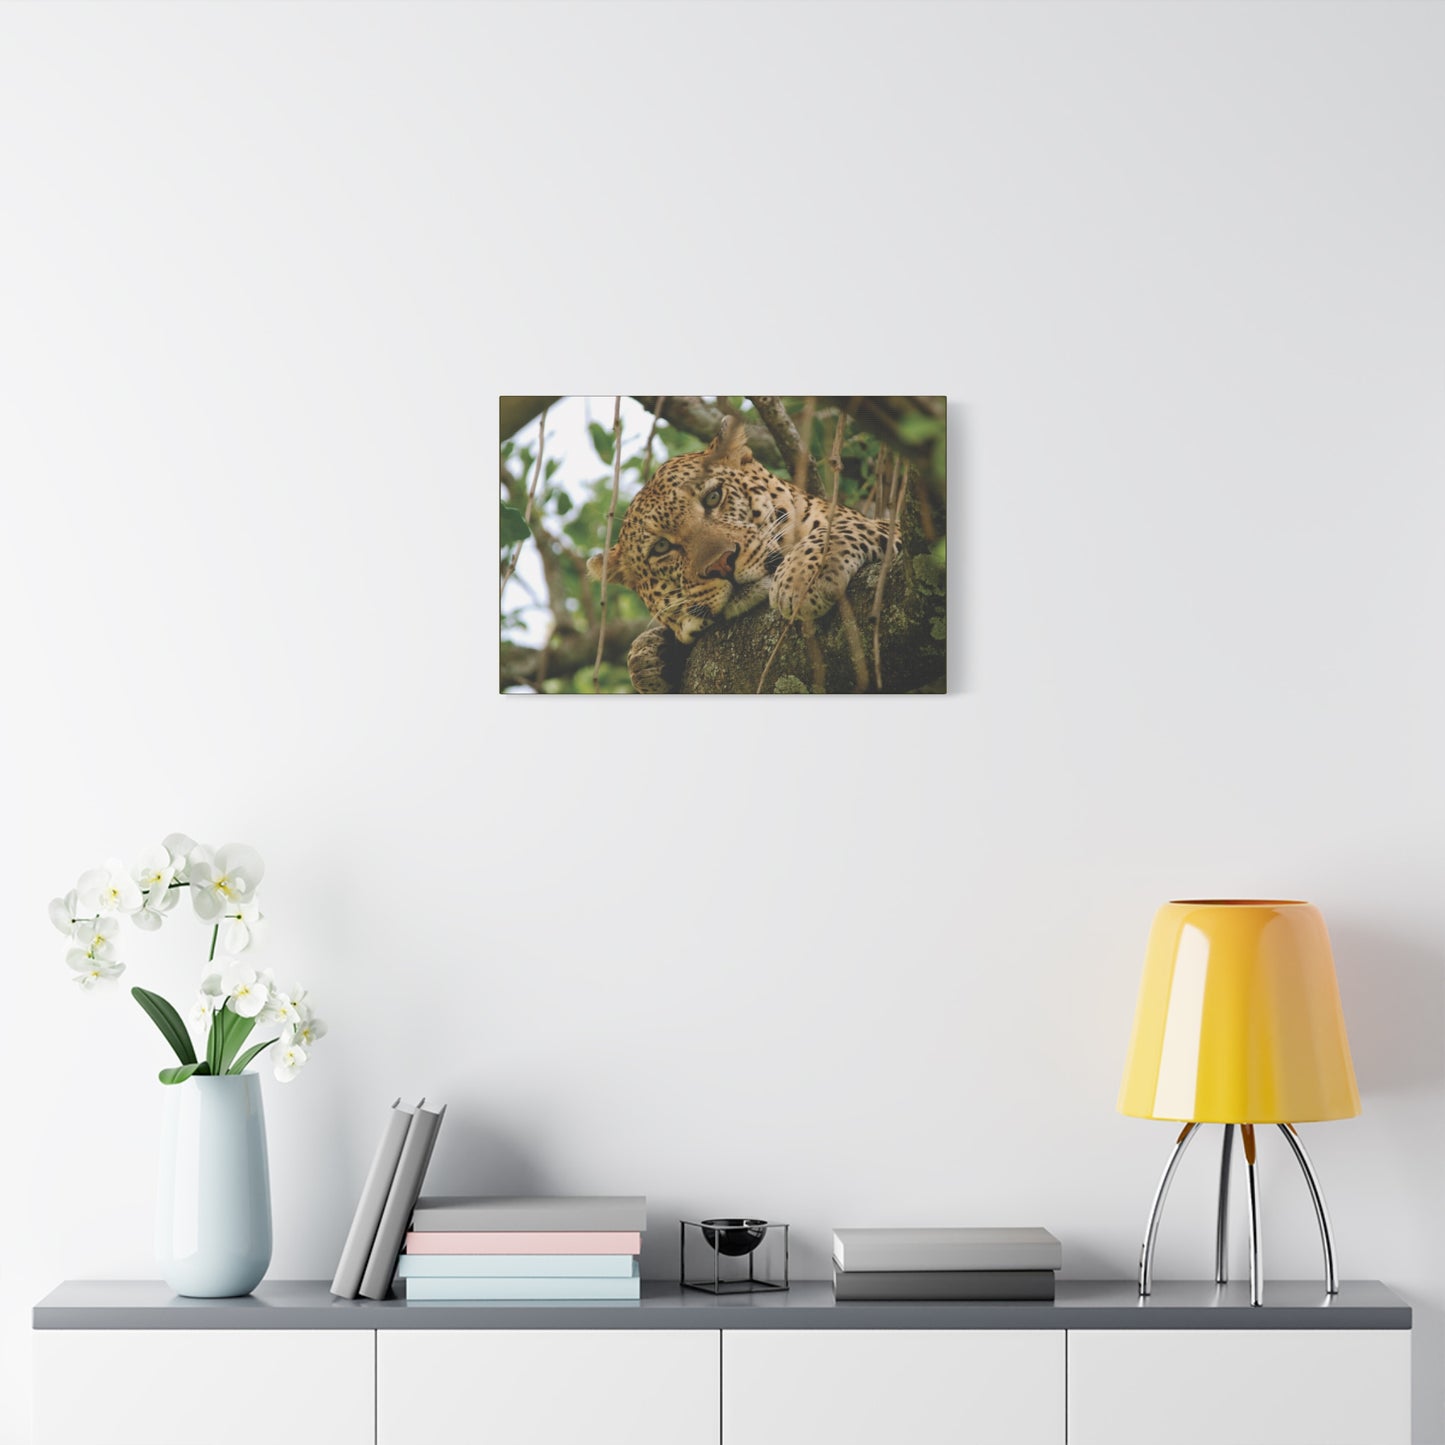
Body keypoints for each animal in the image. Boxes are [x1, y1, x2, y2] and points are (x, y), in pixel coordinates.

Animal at [586, 416, 899, 693]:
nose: (721, 564)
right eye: (661, 548)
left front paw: (801, 578)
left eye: (713, 498)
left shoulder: (894, 528)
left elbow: (841, 528)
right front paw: (650, 657)